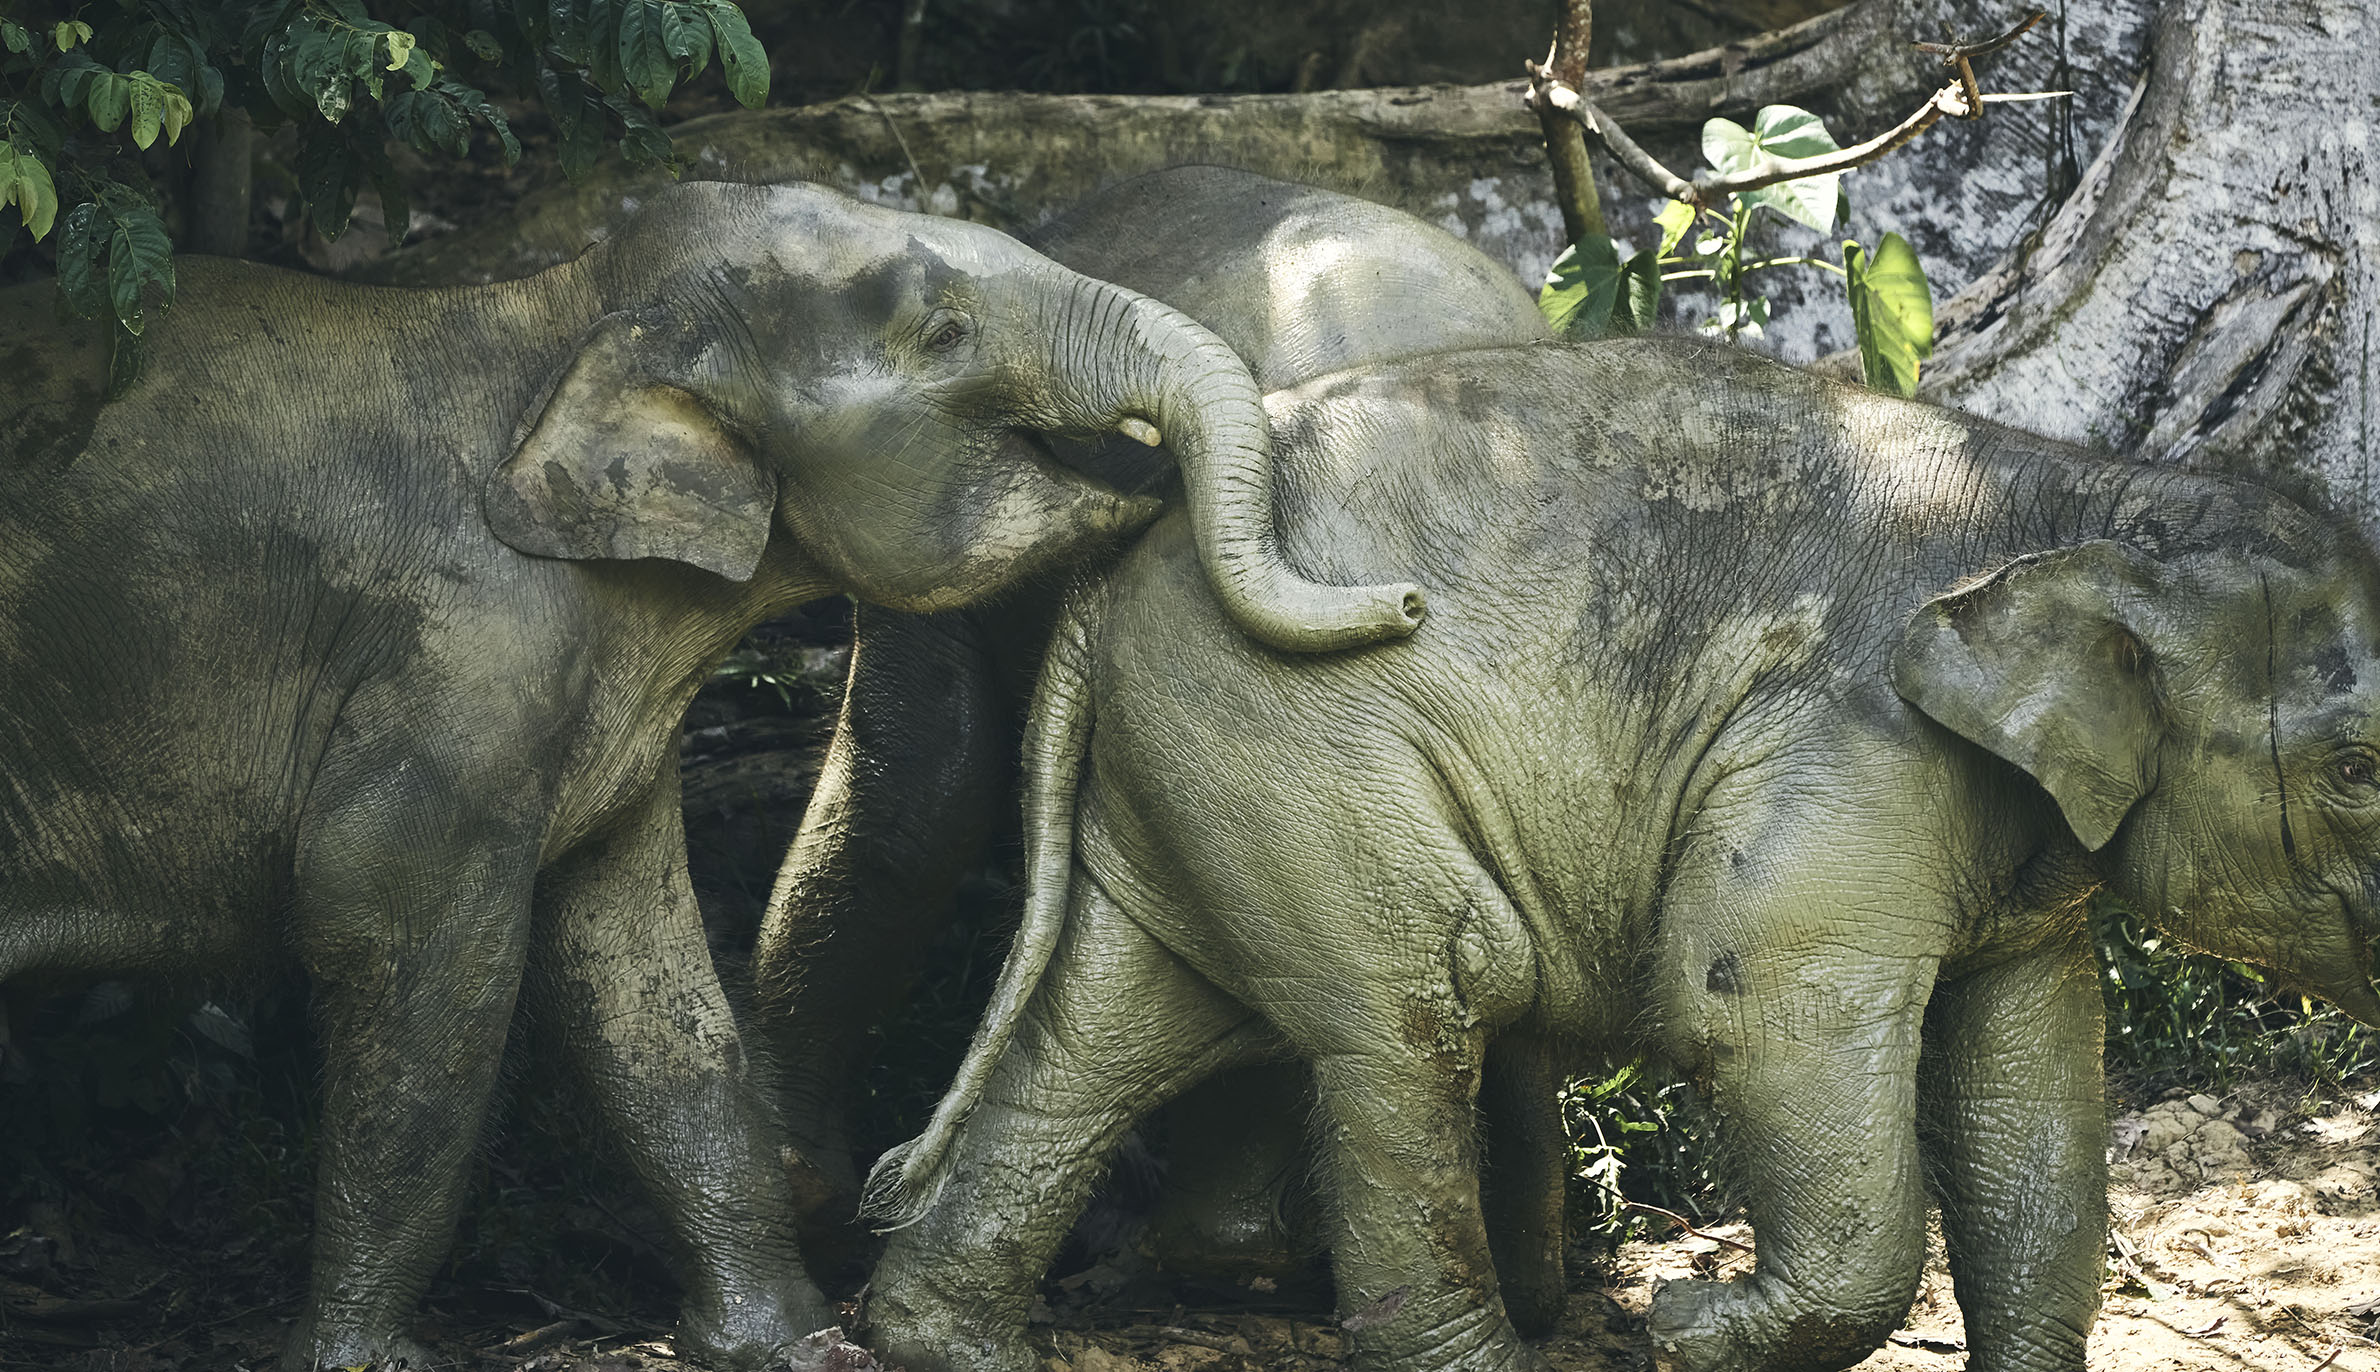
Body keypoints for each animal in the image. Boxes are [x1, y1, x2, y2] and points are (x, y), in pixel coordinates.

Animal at [0, 179, 1415, 1372]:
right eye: (946, 330)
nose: (1404, 601)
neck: (559, 313)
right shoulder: (457, 660)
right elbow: (394, 930)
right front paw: (374, 1363)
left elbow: (646, 973)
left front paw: (782, 1341)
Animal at [863, 335, 2380, 1372]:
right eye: (2360, 772)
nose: (1683, 1298)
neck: (2090, 497)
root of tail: (1116, 560)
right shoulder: (1845, 749)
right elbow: (1752, 1016)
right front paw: (1687, 1325)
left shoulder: (2016, 860)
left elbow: (2033, 1087)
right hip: (1292, 740)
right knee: (1415, 1011)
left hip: (1202, 765)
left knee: (1103, 1028)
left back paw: (938, 1343)